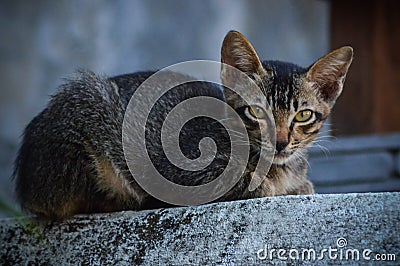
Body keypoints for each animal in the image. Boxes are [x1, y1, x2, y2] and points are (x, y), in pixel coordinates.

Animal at [13, 30, 354, 219]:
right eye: (257, 111)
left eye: (303, 115)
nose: (281, 142)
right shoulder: (185, 177)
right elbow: (254, 185)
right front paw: (272, 184)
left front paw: (298, 183)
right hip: (87, 100)